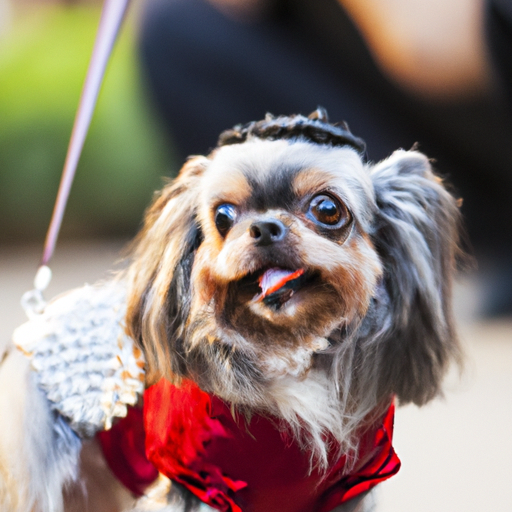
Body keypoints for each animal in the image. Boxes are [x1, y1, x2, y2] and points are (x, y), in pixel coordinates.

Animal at [0, 109, 462, 512]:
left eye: (328, 209)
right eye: (223, 215)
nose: (266, 227)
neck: (288, 352)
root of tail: (37, 322)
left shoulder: (351, 486)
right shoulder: (200, 482)